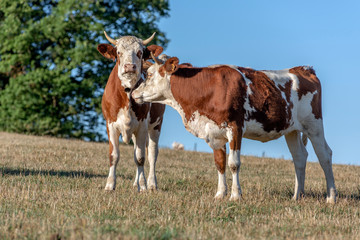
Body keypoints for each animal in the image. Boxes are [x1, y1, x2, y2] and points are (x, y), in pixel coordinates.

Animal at [97, 31, 167, 192]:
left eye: (140, 52)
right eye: (118, 52)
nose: (129, 66)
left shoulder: (142, 126)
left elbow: (140, 158)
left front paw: (143, 186)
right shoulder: (110, 124)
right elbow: (114, 155)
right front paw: (110, 185)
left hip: (156, 125)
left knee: (152, 154)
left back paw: (152, 184)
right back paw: (136, 183)